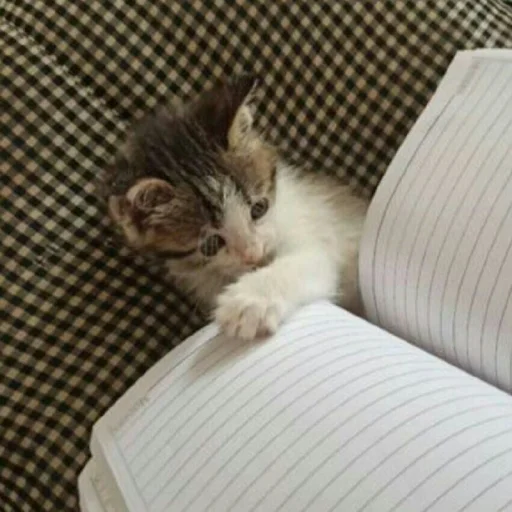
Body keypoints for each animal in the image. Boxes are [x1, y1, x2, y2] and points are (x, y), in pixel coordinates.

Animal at [101, 75, 368, 341]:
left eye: (259, 208)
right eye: (210, 245)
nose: (254, 254)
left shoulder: (315, 232)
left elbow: (311, 262)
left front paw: (250, 301)